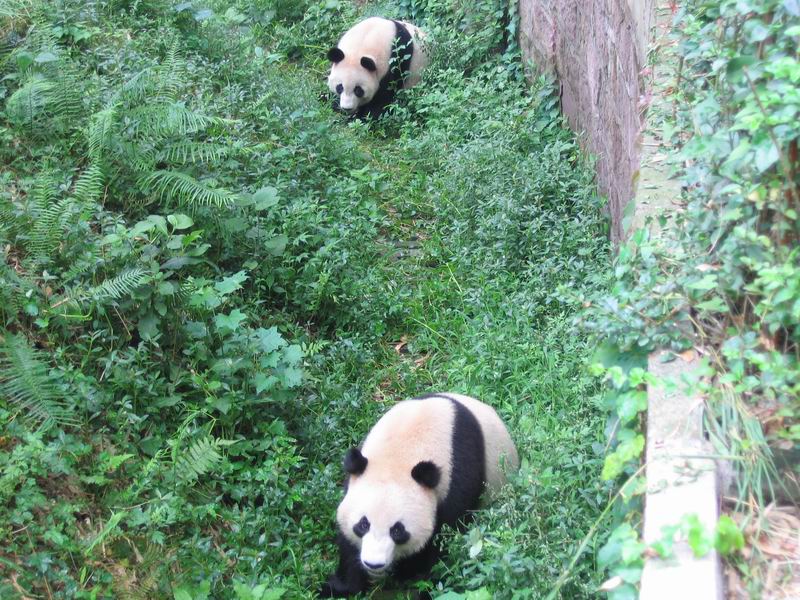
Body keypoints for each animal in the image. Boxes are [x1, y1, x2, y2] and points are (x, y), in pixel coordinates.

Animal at [319, 392, 519, 598]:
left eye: (397, 530)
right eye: (363, 524)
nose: (374, 564)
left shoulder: (457, 480)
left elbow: (442, 541)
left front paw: (418, 584)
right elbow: (348, 544)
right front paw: (338, 587)